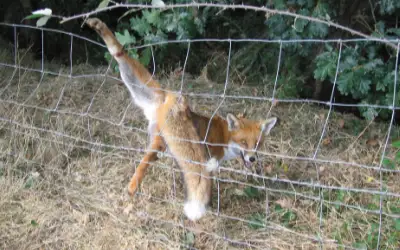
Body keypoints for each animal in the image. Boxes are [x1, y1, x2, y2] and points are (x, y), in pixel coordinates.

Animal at [85, 17, 278, 197]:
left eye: (258, 143)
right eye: (244, 142)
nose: (252, 159)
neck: (224, 137)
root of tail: (169, 97)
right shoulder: (207, 161)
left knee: (119, 55)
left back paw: (102, 31)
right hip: (161, 142)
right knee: (145, 161)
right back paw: (133, 185)